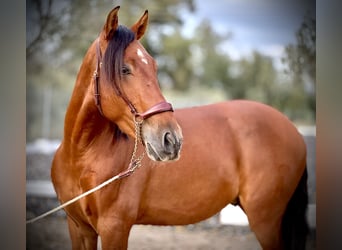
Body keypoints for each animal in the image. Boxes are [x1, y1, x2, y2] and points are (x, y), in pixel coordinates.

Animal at [51, 5, 310, 250]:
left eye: (154, 67)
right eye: (124, 69)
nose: (171, 139)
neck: (82, 156)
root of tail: (293, 130)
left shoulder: (114, 228)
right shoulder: (79, 228)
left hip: (265, 221)